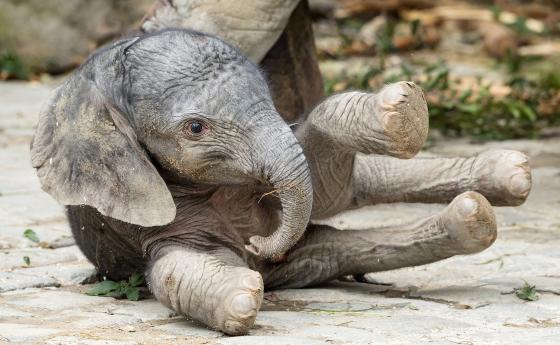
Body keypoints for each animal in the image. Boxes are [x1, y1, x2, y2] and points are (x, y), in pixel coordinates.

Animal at [29, 28, 528, 334]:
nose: (257, 246)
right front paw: (242, 295)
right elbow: (170, 269)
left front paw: (400, 114)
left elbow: (323, 167)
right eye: (196, 128)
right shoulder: (139, 215)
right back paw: (474, 216)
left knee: (357, 185)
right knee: (337, 246)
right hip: (307, 261)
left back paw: (506, 176)